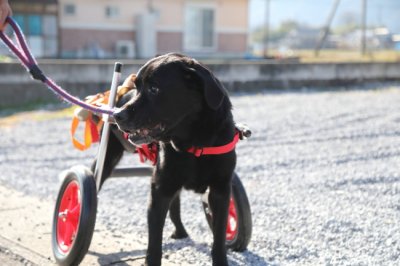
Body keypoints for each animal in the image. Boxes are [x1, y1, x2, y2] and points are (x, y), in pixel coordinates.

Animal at [101, 53, 238, 264]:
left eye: (154, 89)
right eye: (137, 86)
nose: (117, 115)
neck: (194, 143)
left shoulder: (221, 190)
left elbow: (219, 236)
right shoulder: (160, 189)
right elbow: (154, 242)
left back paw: (180, 232)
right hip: (109, 158)